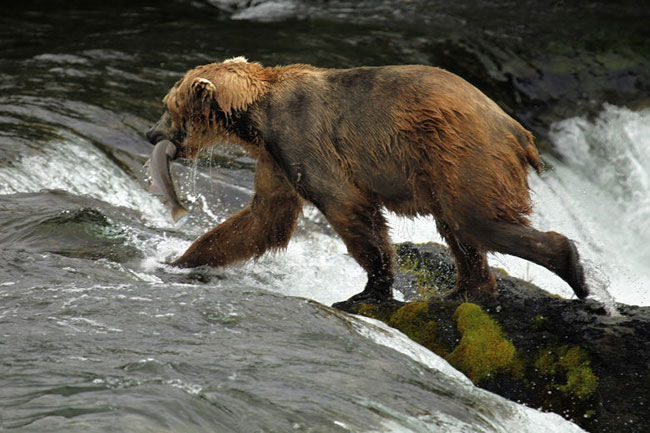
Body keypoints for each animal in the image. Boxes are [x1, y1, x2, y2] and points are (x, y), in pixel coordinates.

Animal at [147, 56, 588, 304]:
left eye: (168, 105)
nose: (152, 133)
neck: (255, 117)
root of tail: (520, 132)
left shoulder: (302, 135)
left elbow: (348, 207)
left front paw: (371, 286)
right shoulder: (276, 157)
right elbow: (265, 217)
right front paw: (179, 260)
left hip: (463, 154)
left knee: (478, 221)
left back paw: (572, 268)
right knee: (458, 230)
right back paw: (462, 290)